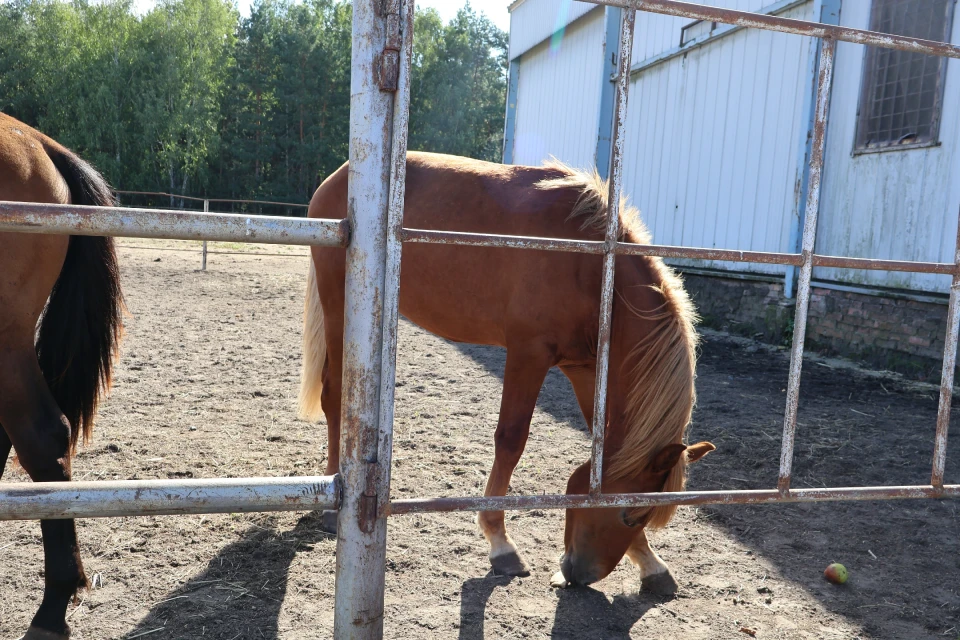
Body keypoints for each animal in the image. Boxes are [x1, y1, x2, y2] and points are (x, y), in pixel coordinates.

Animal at [300, 152, 712, 592]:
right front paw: (500, 543)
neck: (590, 265)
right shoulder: (528, 354)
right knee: (334, 397)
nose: (581, 574)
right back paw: (332, 499)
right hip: (340, 307)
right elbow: (511, 441)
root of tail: (337, 178)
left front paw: (651, 563)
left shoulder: (585, 370)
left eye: (642, 517)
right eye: (628, 515)